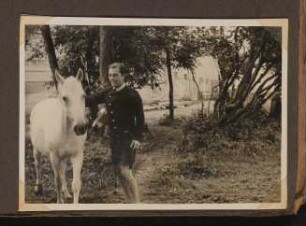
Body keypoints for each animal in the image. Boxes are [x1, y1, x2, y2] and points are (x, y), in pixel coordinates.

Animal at [29, 68, 87, 203]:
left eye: (83, 95)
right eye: (65, 98)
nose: (80, 128)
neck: (66, 132)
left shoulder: (77, 155)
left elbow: (75, 184)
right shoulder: (54, 156)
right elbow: (57, 182)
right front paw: (59, 201)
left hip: (64, 157)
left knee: (62, 171)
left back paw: (66, 192)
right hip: (36, 149)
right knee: (38, 164)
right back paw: (38, 188)